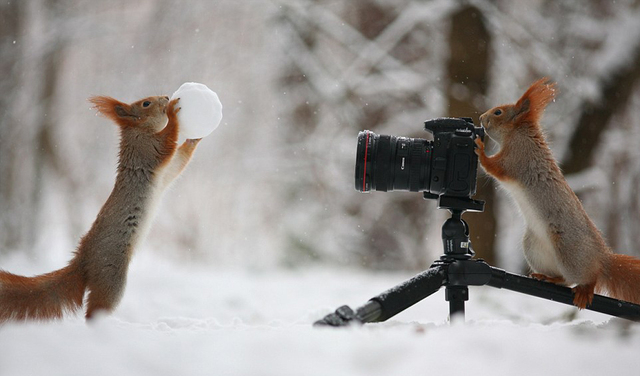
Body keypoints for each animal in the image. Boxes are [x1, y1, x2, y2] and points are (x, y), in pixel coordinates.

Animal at [0, 94, 200, 320]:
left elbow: (178, 162)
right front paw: (173, 113)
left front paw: (194, 139)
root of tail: (83, 261)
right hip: (111, 275)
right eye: (146, 103)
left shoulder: (165, 173)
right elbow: (167, 141)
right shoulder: (147, 149)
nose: (165, 97)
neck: (138, 130)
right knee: (96, 310)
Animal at [478, 78, 640, 308]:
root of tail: (601, 258)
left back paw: (585, 289)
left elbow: (494, 167)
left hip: (568, 251)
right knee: (563, 279)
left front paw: (479, 149)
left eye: (498, 112)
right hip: (534, 247)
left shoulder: (516, 158)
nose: (481, 118)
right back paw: (546, 277)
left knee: (585, 277)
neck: (518, 133)